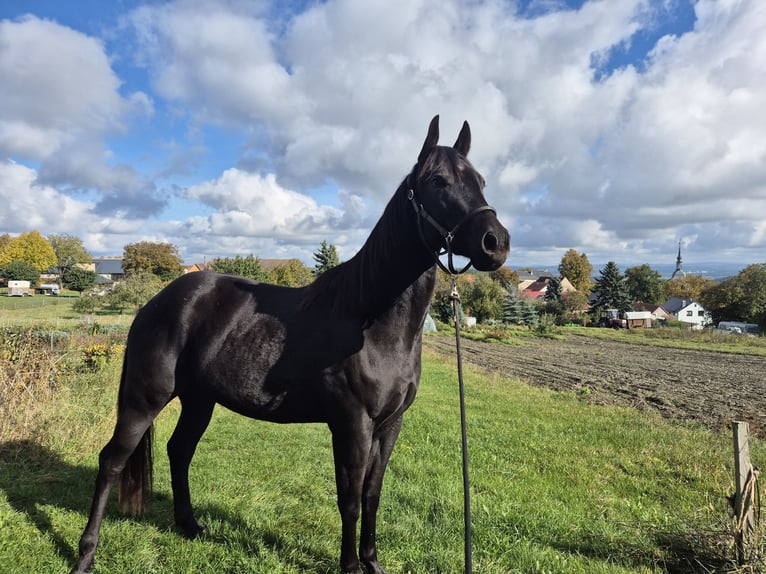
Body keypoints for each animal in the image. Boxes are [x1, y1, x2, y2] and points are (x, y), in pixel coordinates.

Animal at [70, 115, 510, 574]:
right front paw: (350, 566)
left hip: (199, 400)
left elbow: (372, 496)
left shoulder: (390, 425)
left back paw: (189, 525)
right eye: (439, 181)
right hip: (145, 399)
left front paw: (372, 563)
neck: (372, 323)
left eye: (480, 180)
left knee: (180, 451)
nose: (495, 242)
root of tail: (156, 303)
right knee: (112, 461)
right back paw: (86, 554)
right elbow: (350, 500)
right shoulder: (352, 424)